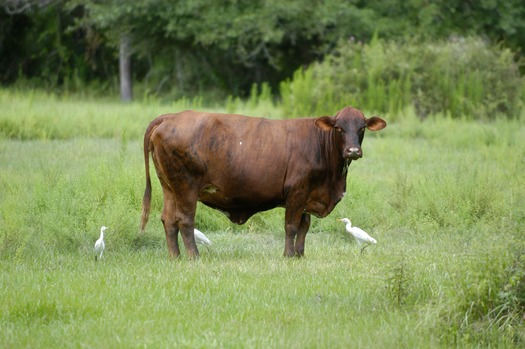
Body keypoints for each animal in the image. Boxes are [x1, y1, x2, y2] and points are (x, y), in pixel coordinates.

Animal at [139, 106, 384, 258]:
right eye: (339, 127)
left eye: (361, 127)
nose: (353, 151)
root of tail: (170, 117)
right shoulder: (297, 191)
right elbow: (291, 226)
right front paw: (288, 255)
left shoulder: (307, 196)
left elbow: (304, 227)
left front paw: (300, 255)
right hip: (186, 187)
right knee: (185, 220)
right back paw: (194, 257)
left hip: (169, 186)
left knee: (169, 219)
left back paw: (175, 257)